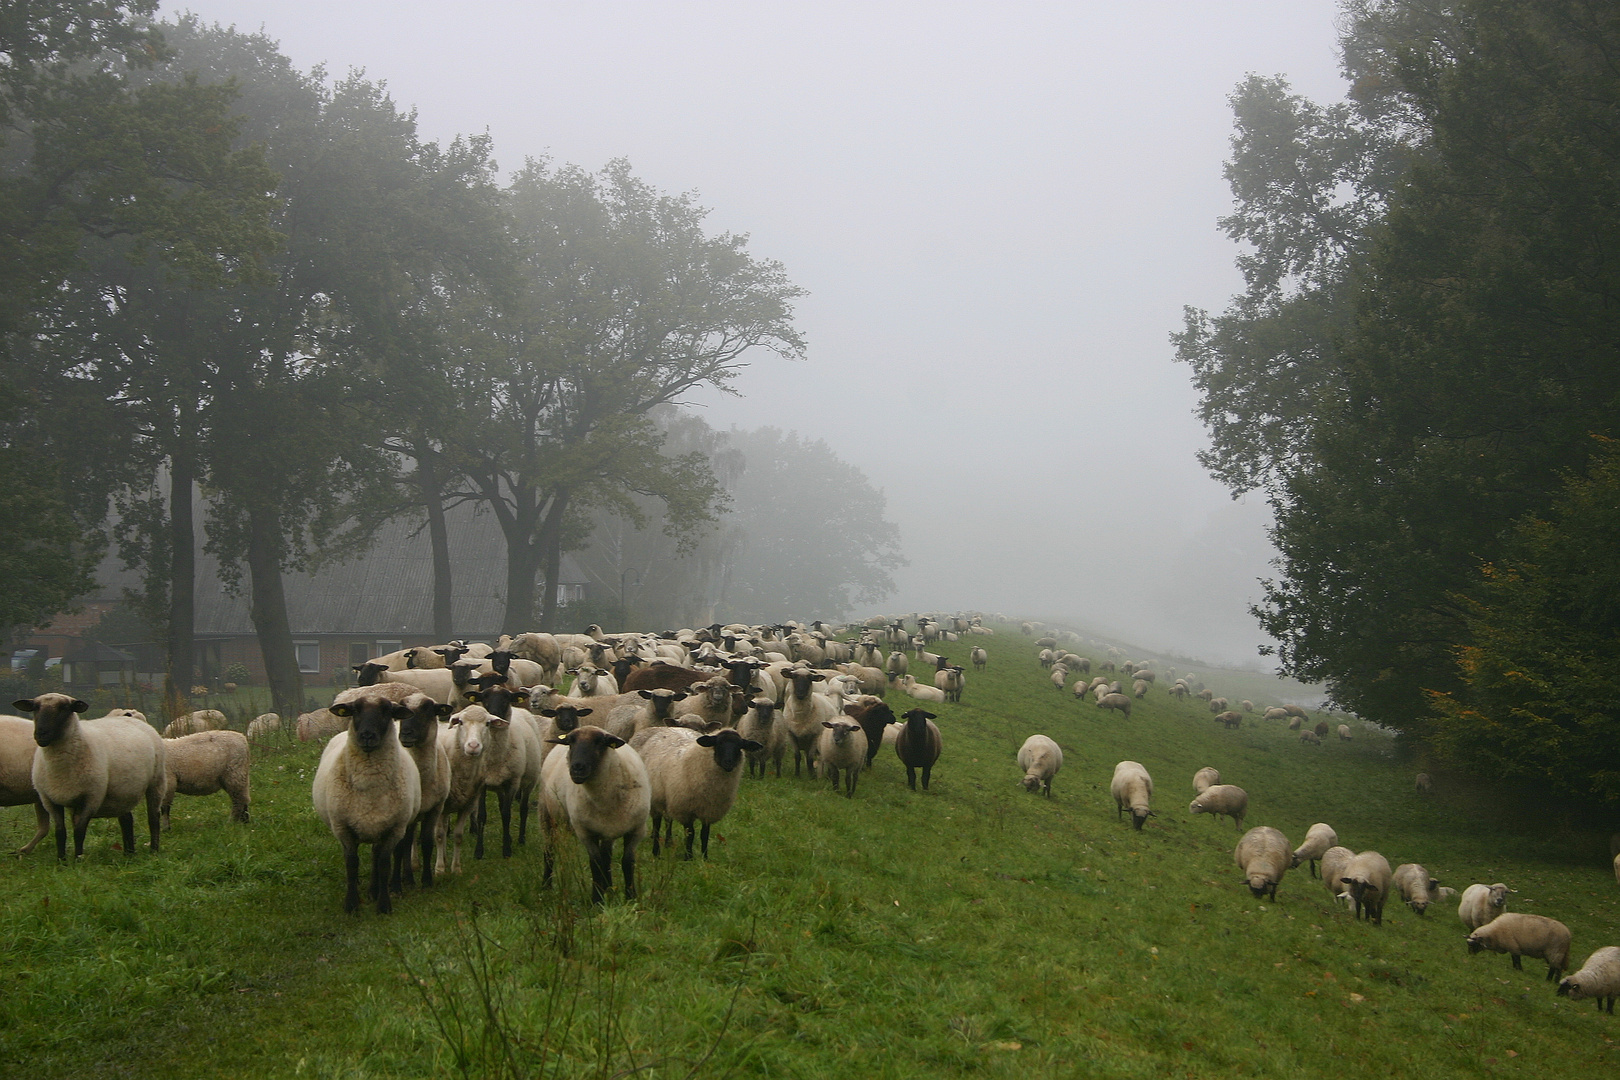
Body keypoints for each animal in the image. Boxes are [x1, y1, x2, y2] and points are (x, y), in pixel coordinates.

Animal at [17, 693, 166, 861]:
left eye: (64, 708)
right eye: (35, 708)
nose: (40, 734)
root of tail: (133, 718)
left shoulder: (91, 797)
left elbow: (79, 831)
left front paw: (77, 859)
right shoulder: (49, 800)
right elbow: (60, 832)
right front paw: (61, 860)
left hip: (157, 780)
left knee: (153, 817)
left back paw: (153, 850)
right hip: (121, 791)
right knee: (126, 819)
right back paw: (129, 853)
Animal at [309, 693, 421, 913]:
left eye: (387, 711)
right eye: (355, 710)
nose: (367, 736)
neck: (369, 786)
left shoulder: (394, 829)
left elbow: (384, 864)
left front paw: (383, 905)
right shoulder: (343, 827)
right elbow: (352, 864)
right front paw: (351, 904)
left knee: (376, 856)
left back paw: (374, 890)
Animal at [541, 725, 648, 906]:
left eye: (599, 742)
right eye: (570, 743)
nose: (577, 768)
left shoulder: (637, 830)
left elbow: (627, 862)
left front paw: (630, 897)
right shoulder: (585, 832)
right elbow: (596, 863)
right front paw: (597, 900)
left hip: (607, 830)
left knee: (607, 858)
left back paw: (609, 887)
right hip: (546, 814)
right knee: (549, 851)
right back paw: (545, 886)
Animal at [628, 725, 761, 854]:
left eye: (739, 746)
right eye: (718, 744)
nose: (729, 763)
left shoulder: (709, 811)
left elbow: (704, 835)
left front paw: (704, 856)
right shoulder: (685, 810)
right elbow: (690, 835)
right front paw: (688, 857)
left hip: (667, 798)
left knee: (668, 820)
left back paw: (668, 843)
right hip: (655, 798)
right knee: (657, 825)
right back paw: (656, 852)